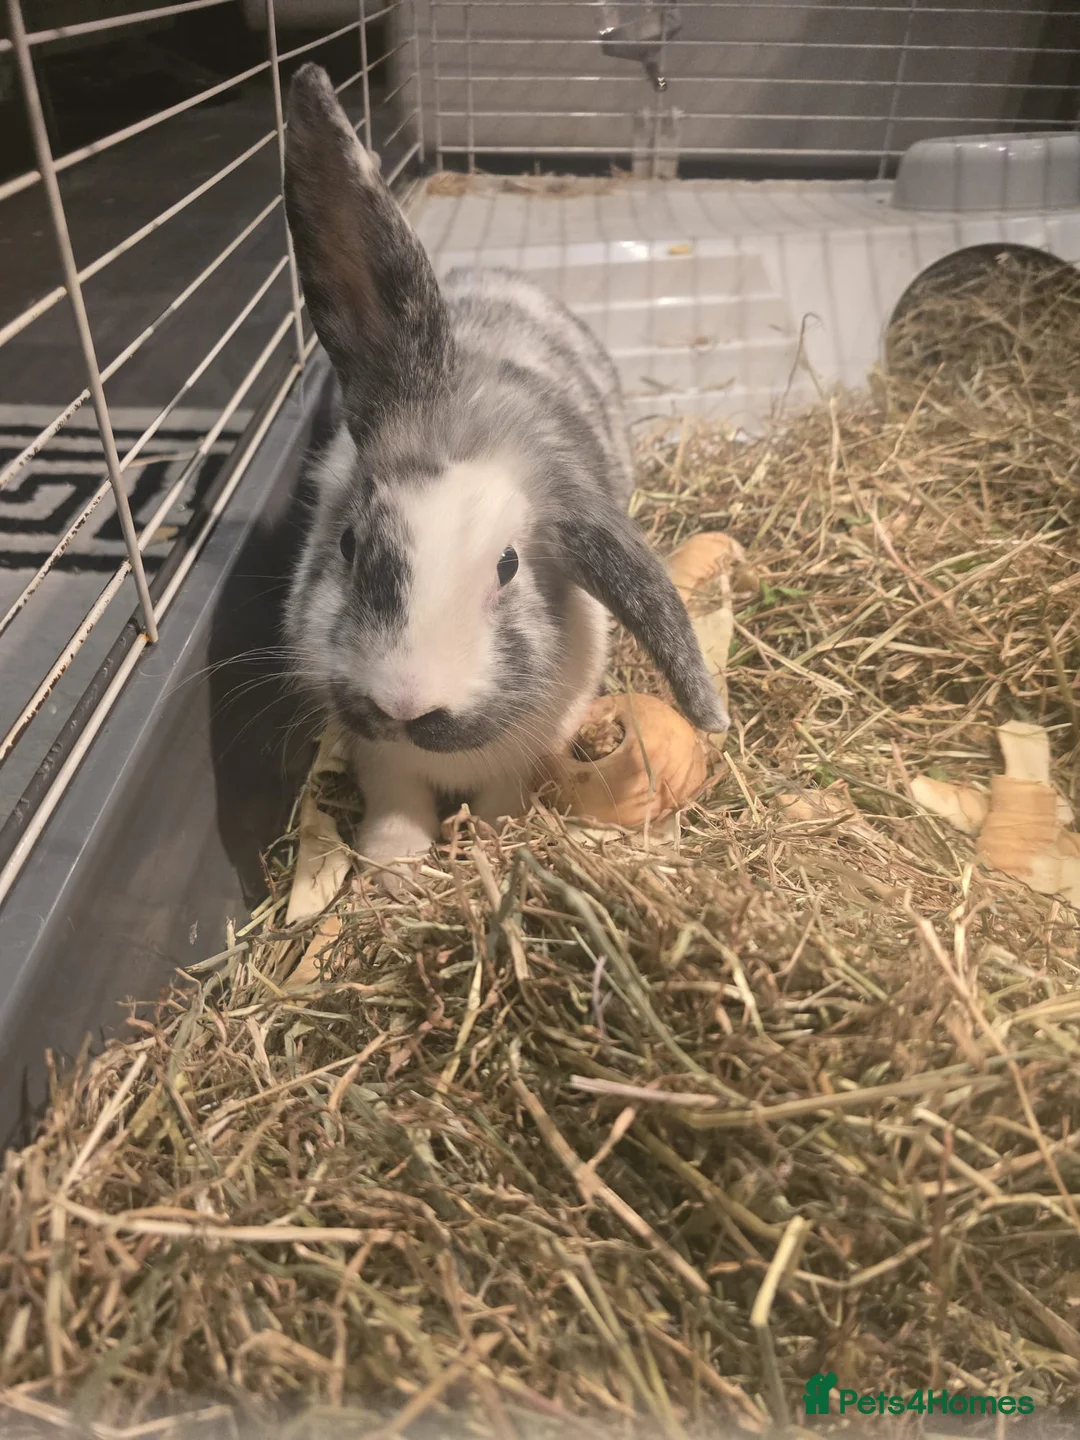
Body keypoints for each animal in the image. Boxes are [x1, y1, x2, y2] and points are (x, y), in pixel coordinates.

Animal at [281, 63, 729, 879]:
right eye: (350, 546)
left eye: (509, 565)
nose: (405, 703)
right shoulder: (377, 756)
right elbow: (395, 799)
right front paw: (394, 865)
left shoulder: (530, 745)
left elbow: (499, 795)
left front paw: (490, 837)